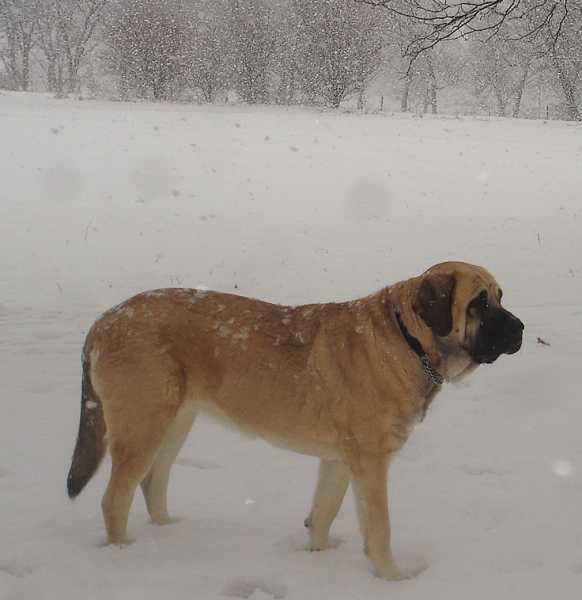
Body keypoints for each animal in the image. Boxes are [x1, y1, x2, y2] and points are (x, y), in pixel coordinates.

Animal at [68, 262, 524, 580]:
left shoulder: (341, 460)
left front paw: (318, 558)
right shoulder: (370, 461)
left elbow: (323, 511)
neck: (408, 341)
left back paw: (169, 534)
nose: (521, 328)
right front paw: (393, 579)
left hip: (176, 421)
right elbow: (379, 527)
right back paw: (125, 555)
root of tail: (105, 319)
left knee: (152, 481)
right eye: (480, 302)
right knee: (115, 498)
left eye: (501, 296)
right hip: (143, 424)